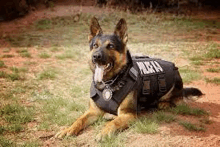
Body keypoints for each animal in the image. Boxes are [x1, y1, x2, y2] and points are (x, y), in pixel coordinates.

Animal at [55, 17, 203, 140]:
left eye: (111, 46)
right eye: (95, 46)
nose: (96, 56)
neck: (109, 84)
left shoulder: (128, 114)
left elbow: (114, 122)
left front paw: (104, 132)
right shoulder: (93, 112)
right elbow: (79, 119)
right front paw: (68, 129)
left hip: (175, 83)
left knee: (178, 98)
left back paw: (164, 103)